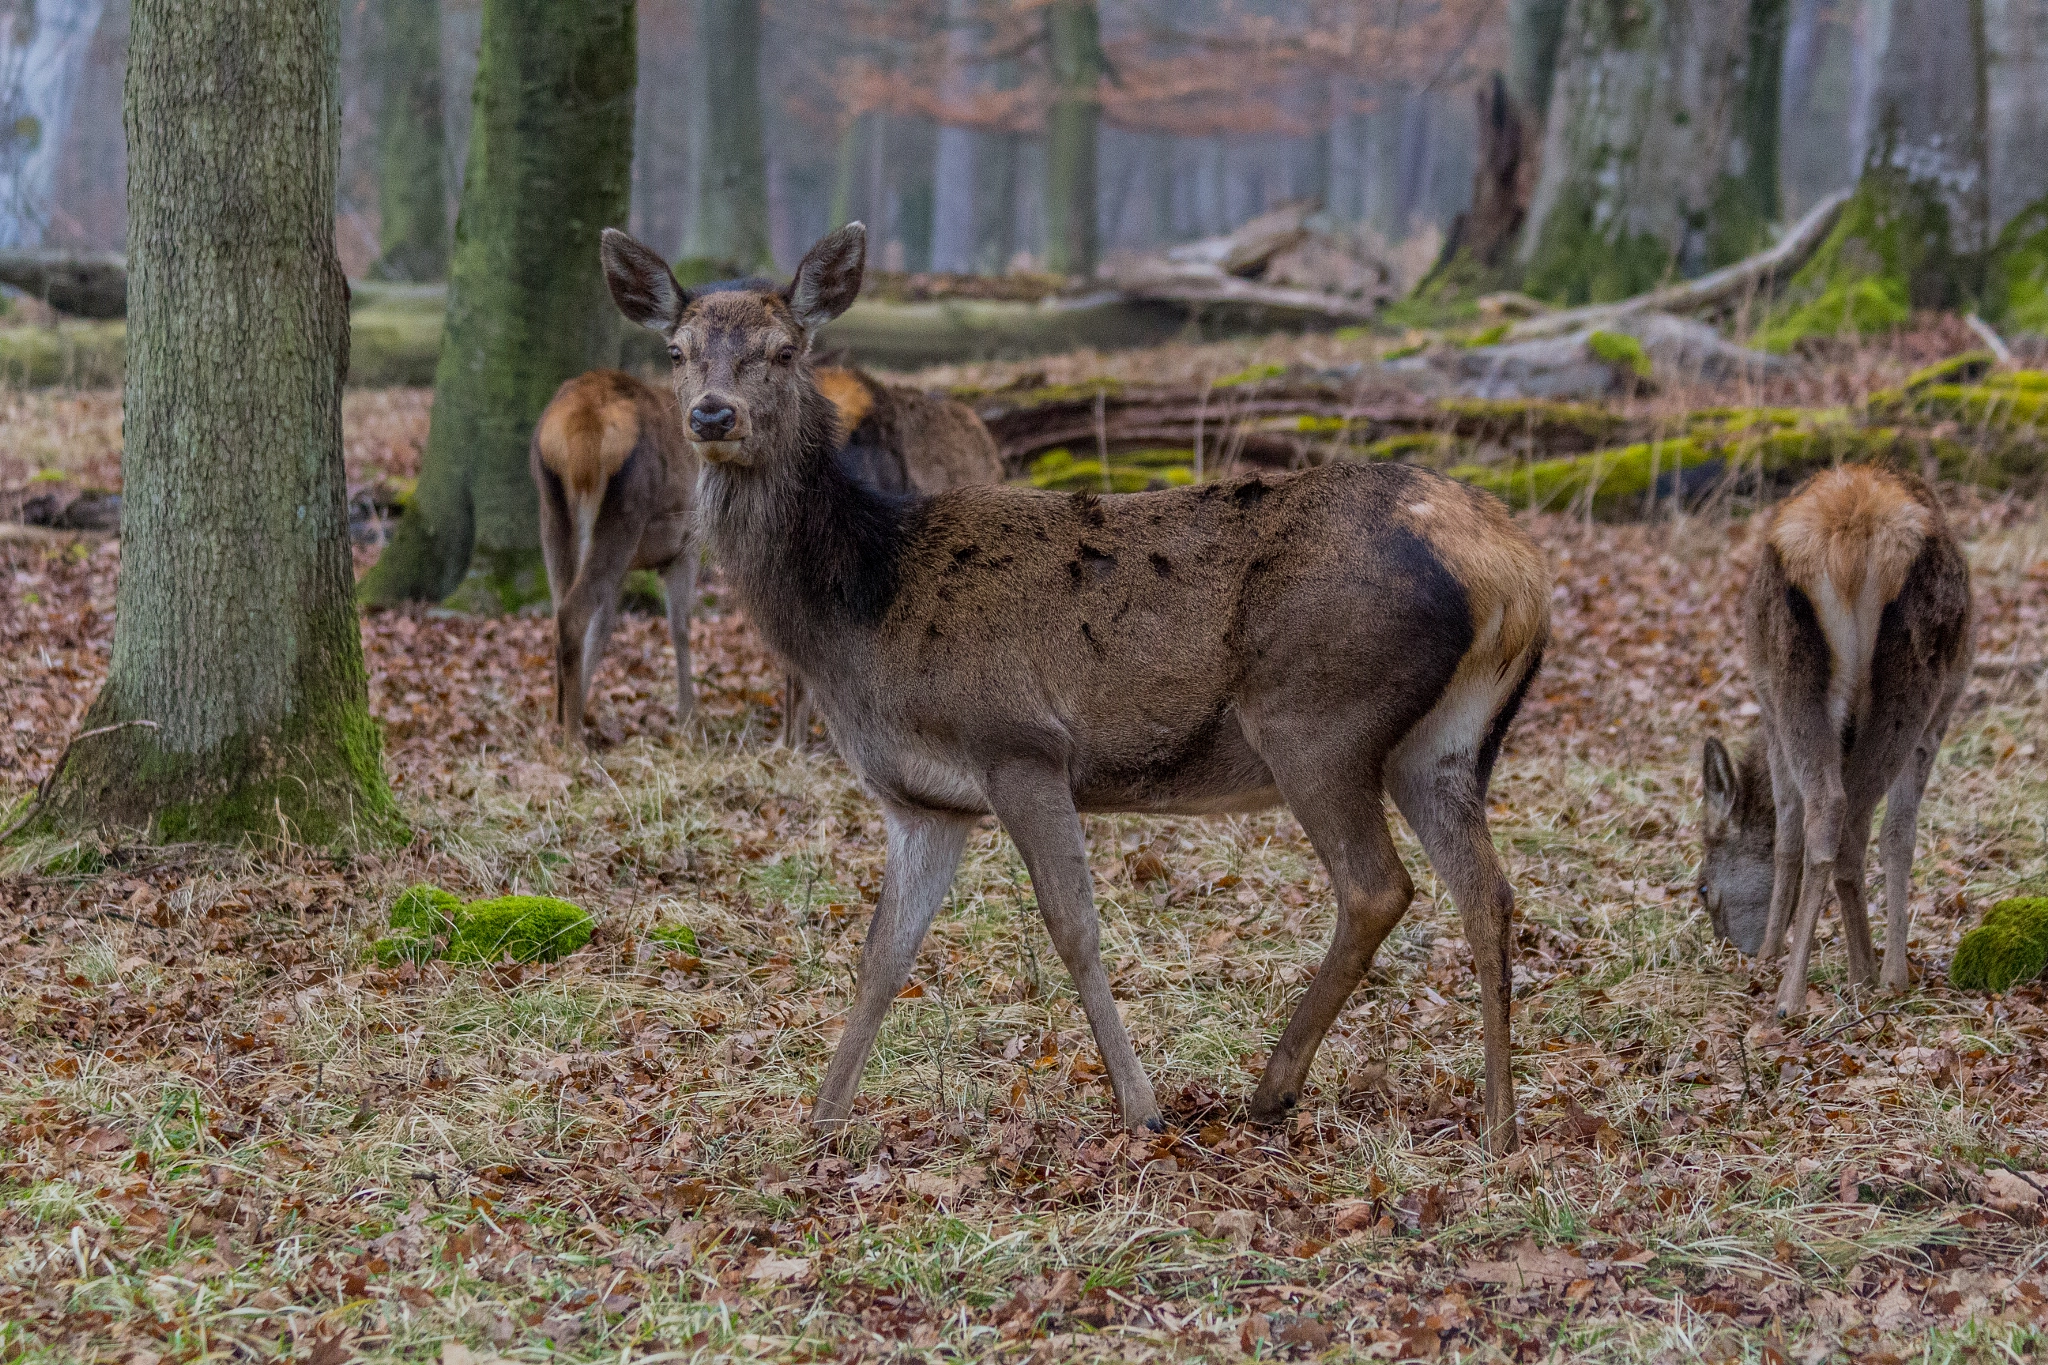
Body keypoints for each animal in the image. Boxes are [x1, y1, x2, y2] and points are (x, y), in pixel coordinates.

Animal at [600, 221, 1551, 1154]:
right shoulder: (924, 799)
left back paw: (1274, 1088)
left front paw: (1142, 1108)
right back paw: (1499, 1125)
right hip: (1444, 743)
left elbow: (1074, 927)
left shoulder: (1017, 741)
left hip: (1315, 717)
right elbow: (883, 954)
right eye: (678, 350)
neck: (864, 612)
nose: (712, 413)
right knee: (1488, 891)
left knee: (1378, 886)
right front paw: (820, 1123)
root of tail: (1515, 571)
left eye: (785, 349)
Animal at [1699, 465, 1973, 1019]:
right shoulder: (1942, 714)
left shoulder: (1768, 707)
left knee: (1833, 809)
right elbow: (1895, 832)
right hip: (1915, 678)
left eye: (1701, 888)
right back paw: (1869, 973)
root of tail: (1850, 538)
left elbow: (1787, 834)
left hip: (1796, 674)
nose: (1731, 949)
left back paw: (1809, 987)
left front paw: (1769, 954)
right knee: (1852, 815)